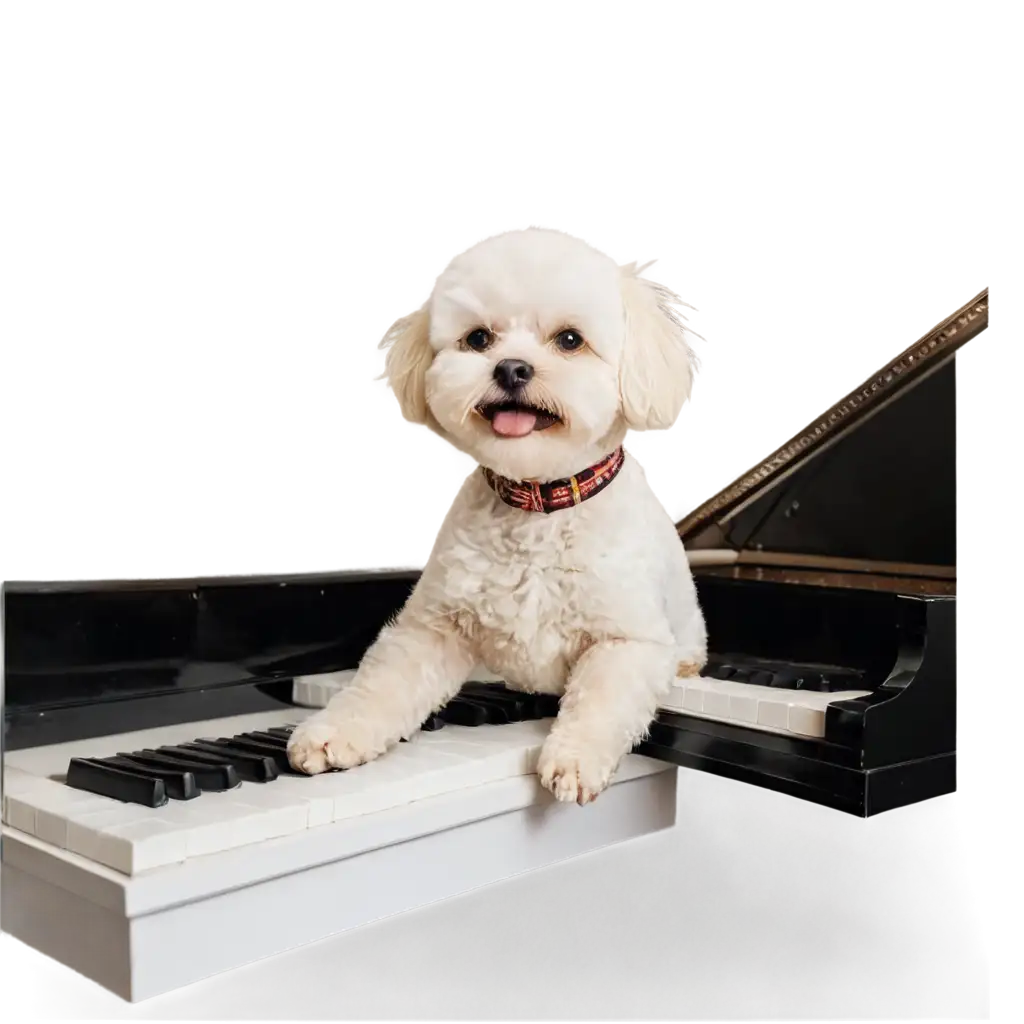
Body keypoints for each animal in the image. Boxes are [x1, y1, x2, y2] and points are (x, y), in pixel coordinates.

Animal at [284, 228, 708, 802]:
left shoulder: (628, 641)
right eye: (479, 339)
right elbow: (380, 684)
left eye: (570, 340)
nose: (511, 368)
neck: (540, 502)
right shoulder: (433, 628)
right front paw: (332, 732)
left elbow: (600, 702)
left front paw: (574, 759)